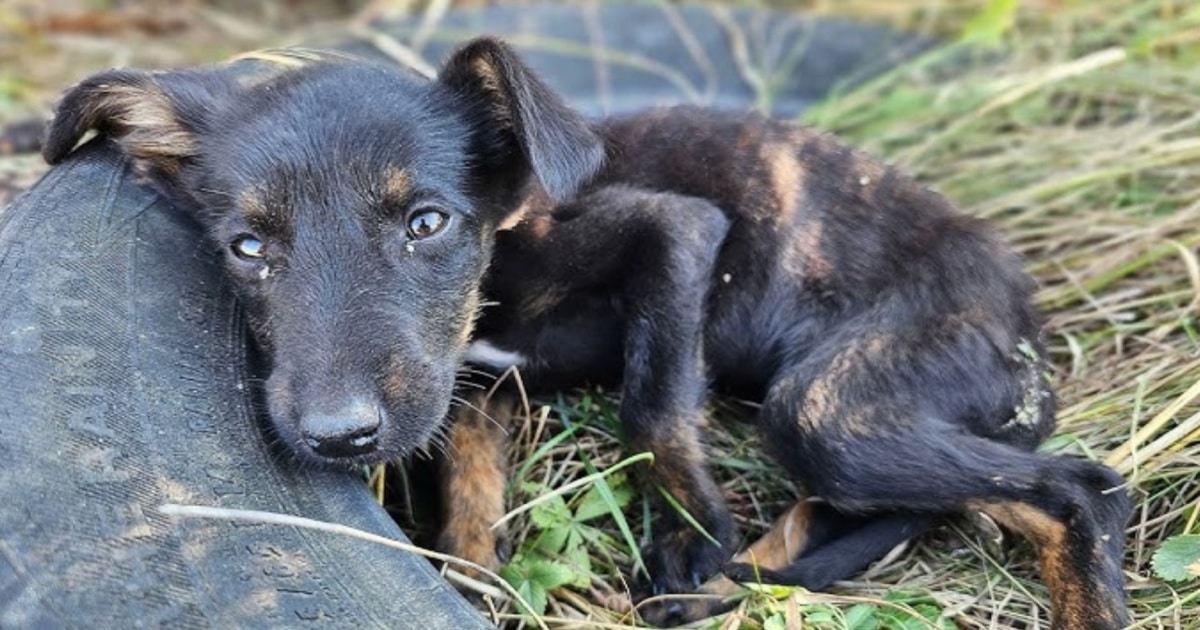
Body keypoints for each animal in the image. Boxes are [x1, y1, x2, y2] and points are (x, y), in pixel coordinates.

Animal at [46, 39, 1128, 628]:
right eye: (248, 247)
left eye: (427, 223)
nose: (338, 436)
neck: (503, 250)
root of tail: (1023, 305)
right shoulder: (469, 386)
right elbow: (471, 493)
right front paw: (473, 579)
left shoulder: (682, 232)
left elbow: (654, 403)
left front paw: (687, 532)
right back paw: (744, 583)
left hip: (832, 404)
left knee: (1079, 487)